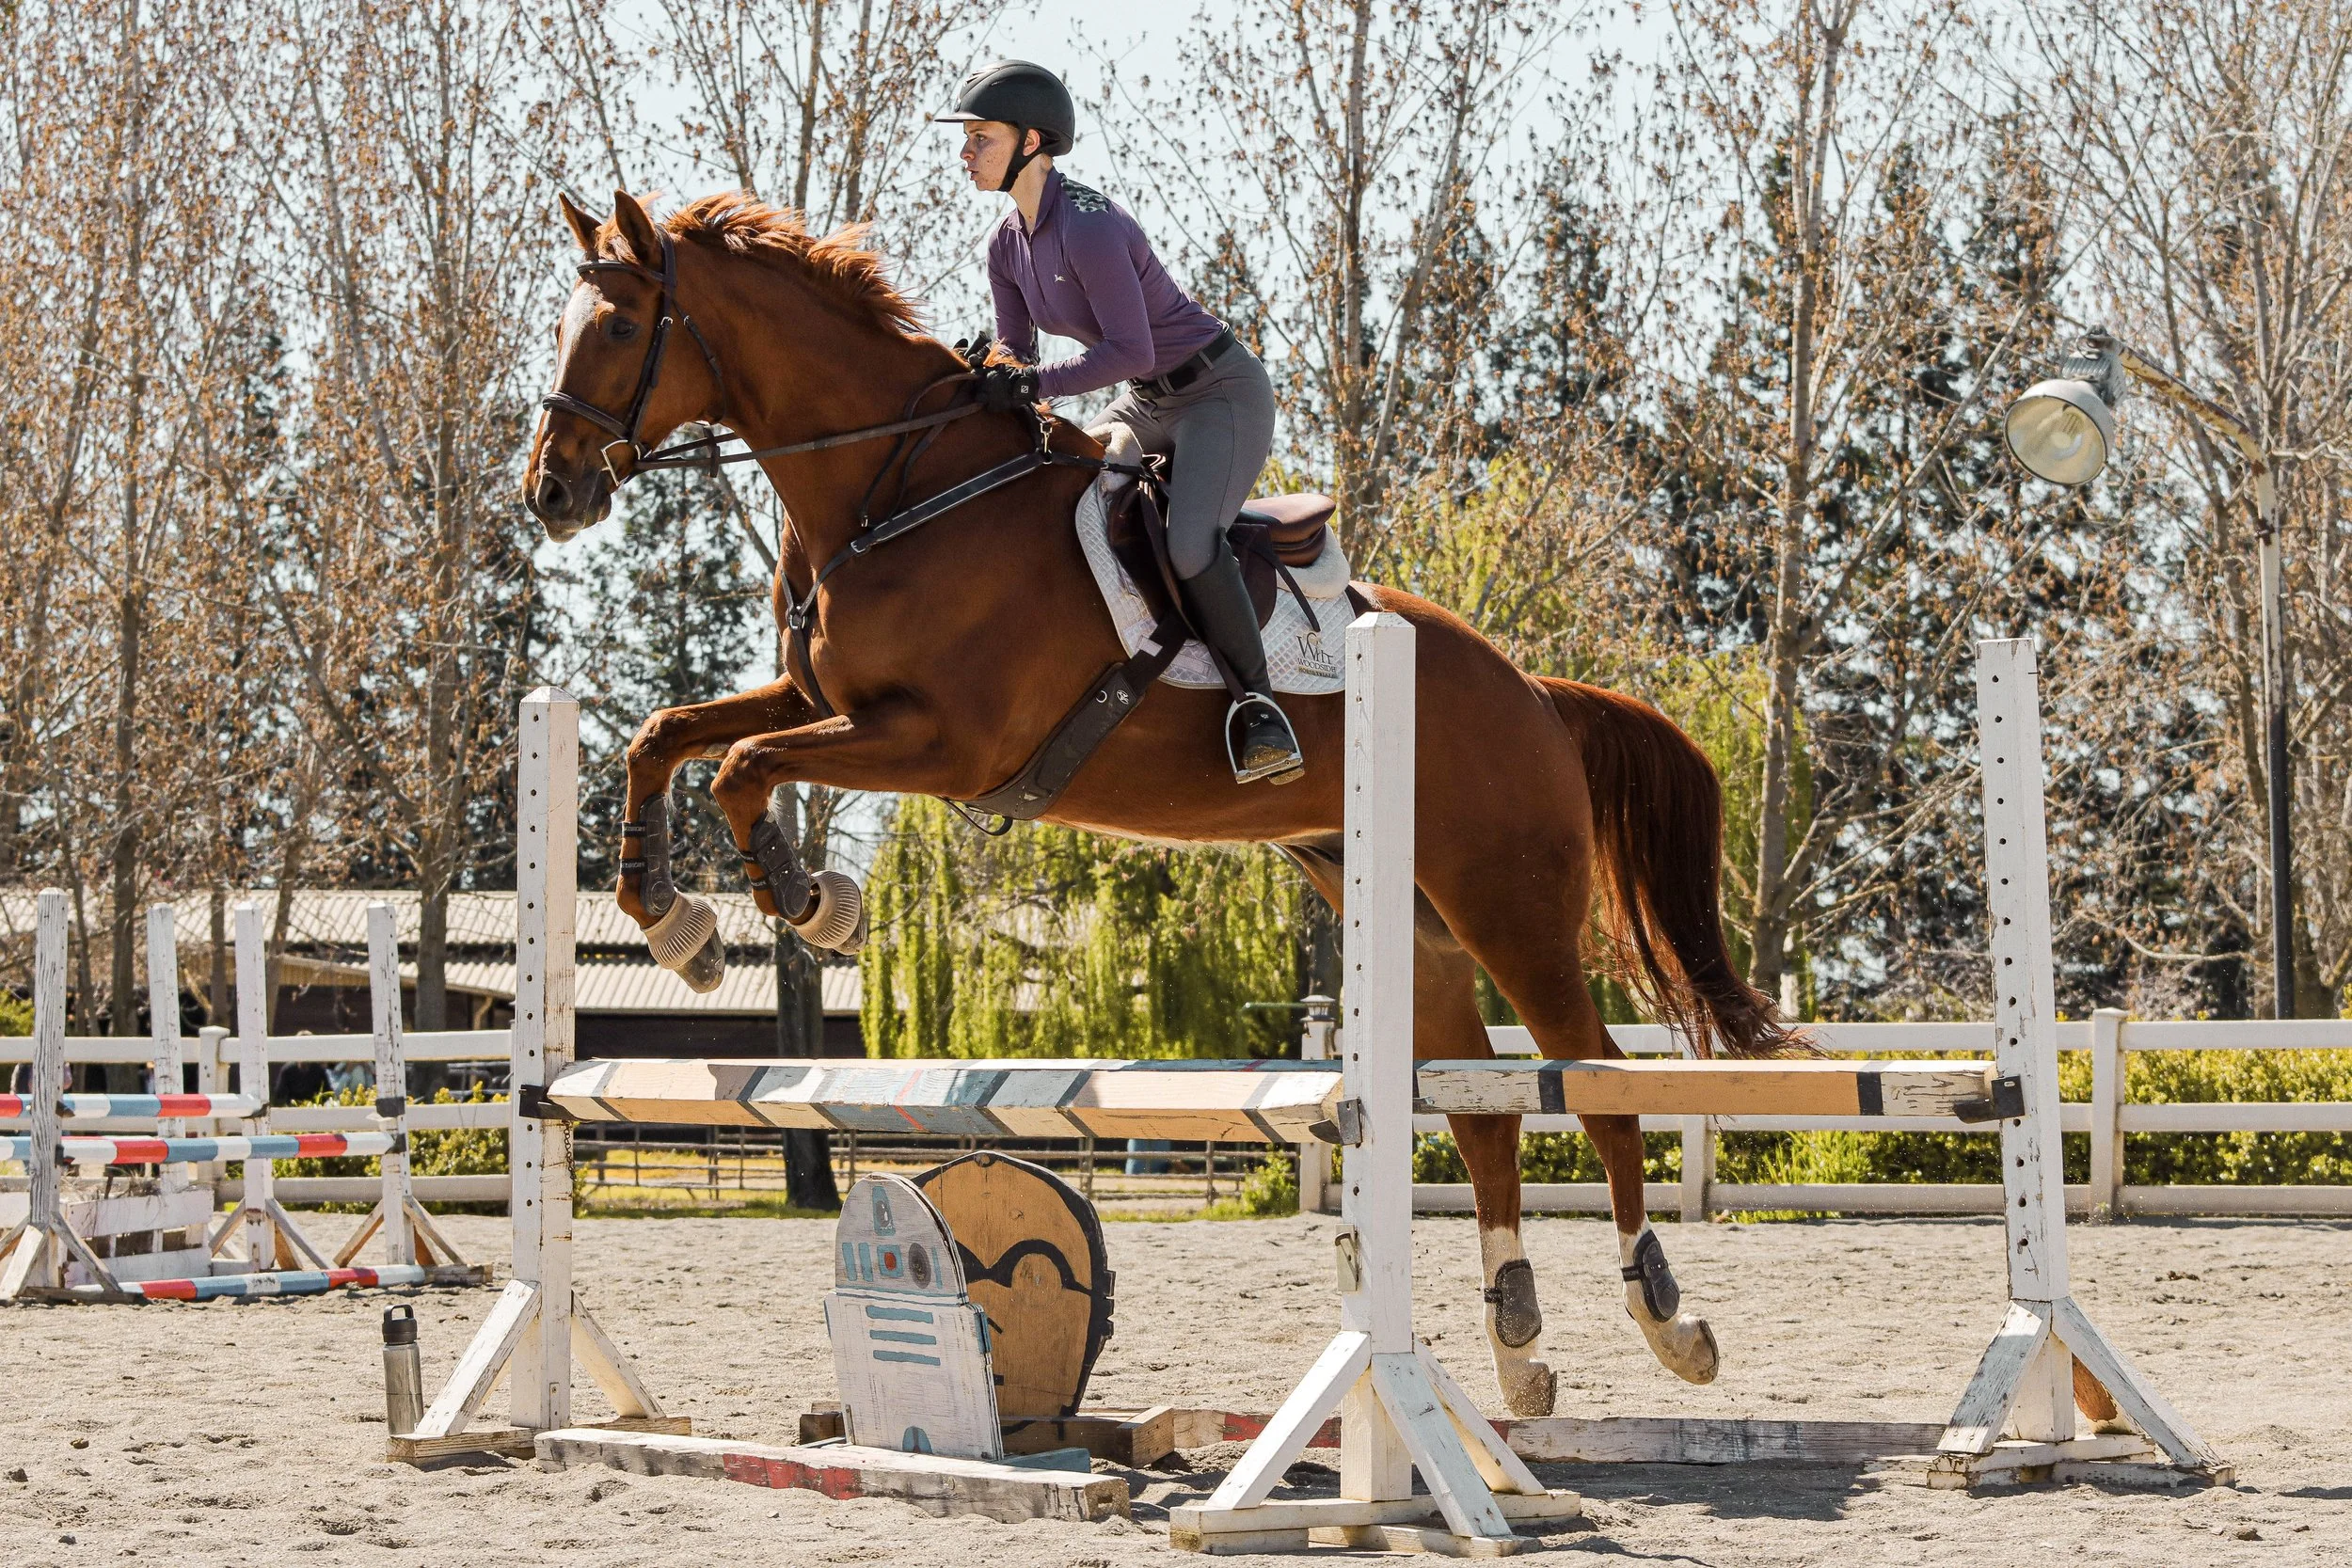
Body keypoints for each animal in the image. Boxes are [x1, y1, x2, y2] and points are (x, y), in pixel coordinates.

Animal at [522, 187, 1797, 1418]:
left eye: (622, 328)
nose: (551, 491)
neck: (901, 492)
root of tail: (1530, 687)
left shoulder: (941, 743)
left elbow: (742, 766)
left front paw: (806, 898)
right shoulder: (818, 699)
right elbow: (665, 737)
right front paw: (672, 919)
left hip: (1511, 906)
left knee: (1598, 1088)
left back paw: (1666, 1318)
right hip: (1408, 917)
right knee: (1482, 1107)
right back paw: (1517, 1345)